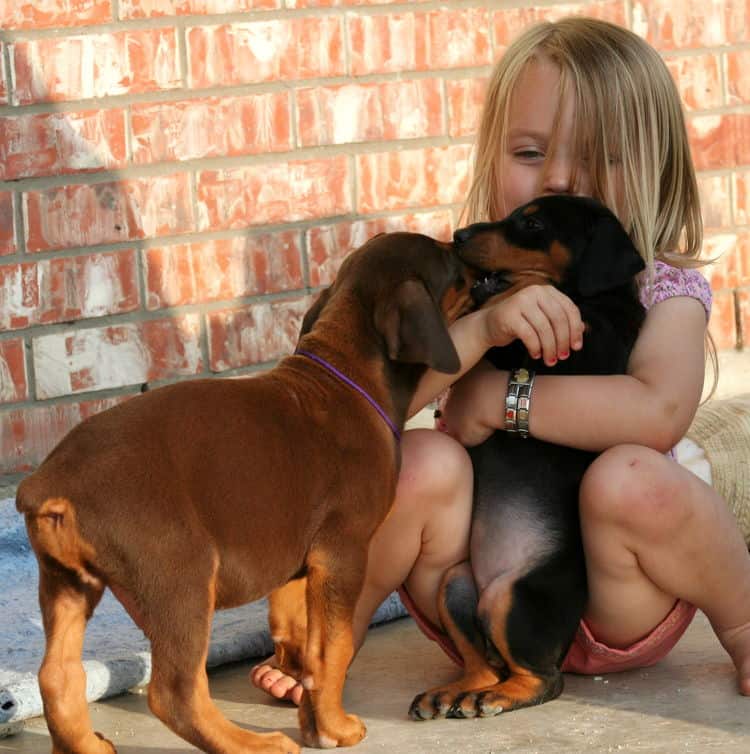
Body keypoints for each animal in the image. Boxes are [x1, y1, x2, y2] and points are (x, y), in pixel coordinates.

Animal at [408, 192, 648, 716]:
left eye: (533, 223)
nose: (458, 236)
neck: (596, 298)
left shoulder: (574, 352)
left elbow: (517, 312)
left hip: (514, 599)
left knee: (543, 679)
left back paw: (495, 697)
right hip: (455, 585)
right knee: (483, 665)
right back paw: (454, 692)